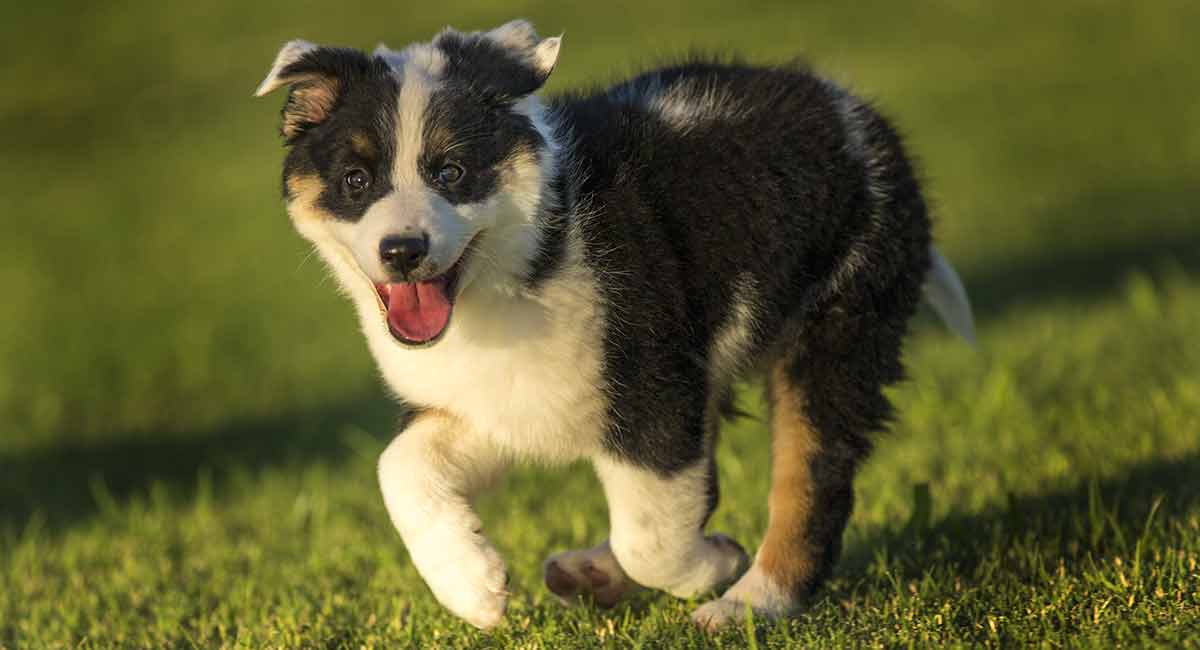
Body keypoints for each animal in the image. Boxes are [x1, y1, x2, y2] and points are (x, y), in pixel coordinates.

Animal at [255, 20, 974, 633]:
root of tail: (856, 116)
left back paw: (748, 603)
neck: (528, 258)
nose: (402, 251)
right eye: (355, 181)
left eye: (450, 172)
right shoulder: (499, 400)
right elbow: (397, 466)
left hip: (838, 321)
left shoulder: (651, 388)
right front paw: (473, 589)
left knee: (811, 485)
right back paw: (594, 575)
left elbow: (652, 534)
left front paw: (712, 565)